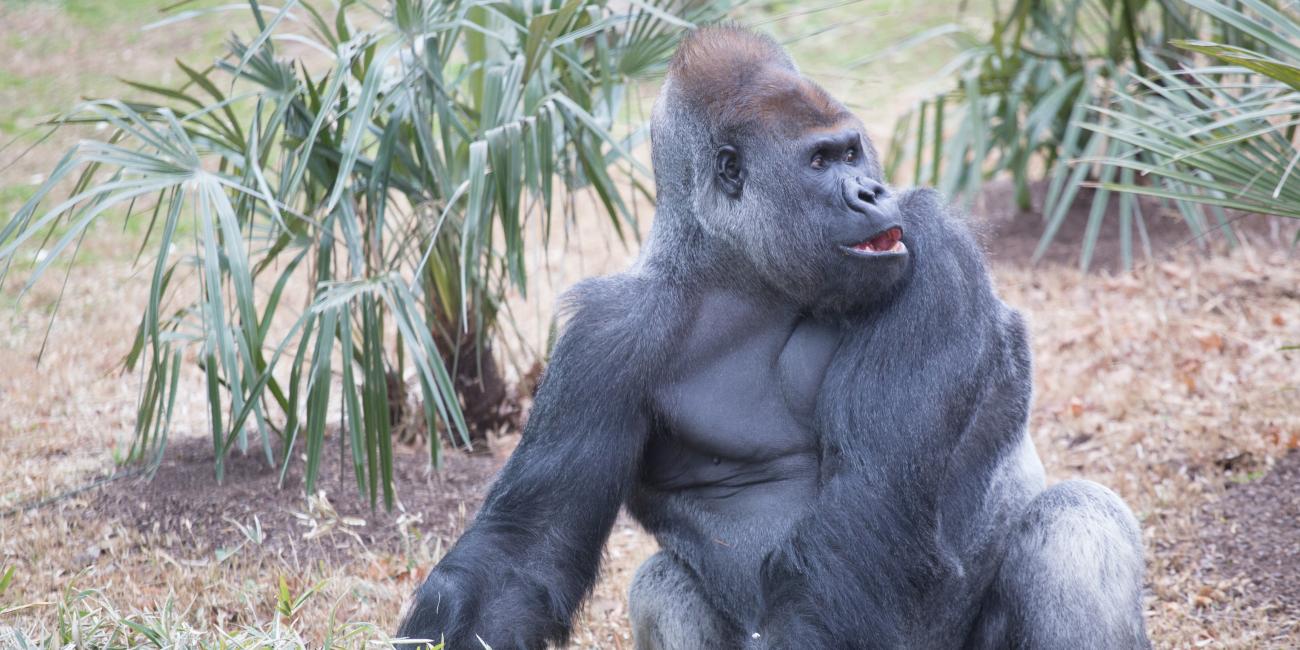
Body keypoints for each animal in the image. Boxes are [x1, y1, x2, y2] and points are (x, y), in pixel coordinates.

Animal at [395, 25, 1149, 650]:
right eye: (820, 162)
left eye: (852, 150)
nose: (871, 192)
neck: (743, 276)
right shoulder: (605, 337)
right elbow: (526, 551)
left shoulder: (932, 244)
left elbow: (865, 503)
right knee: (662, 584)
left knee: (1077, 526)